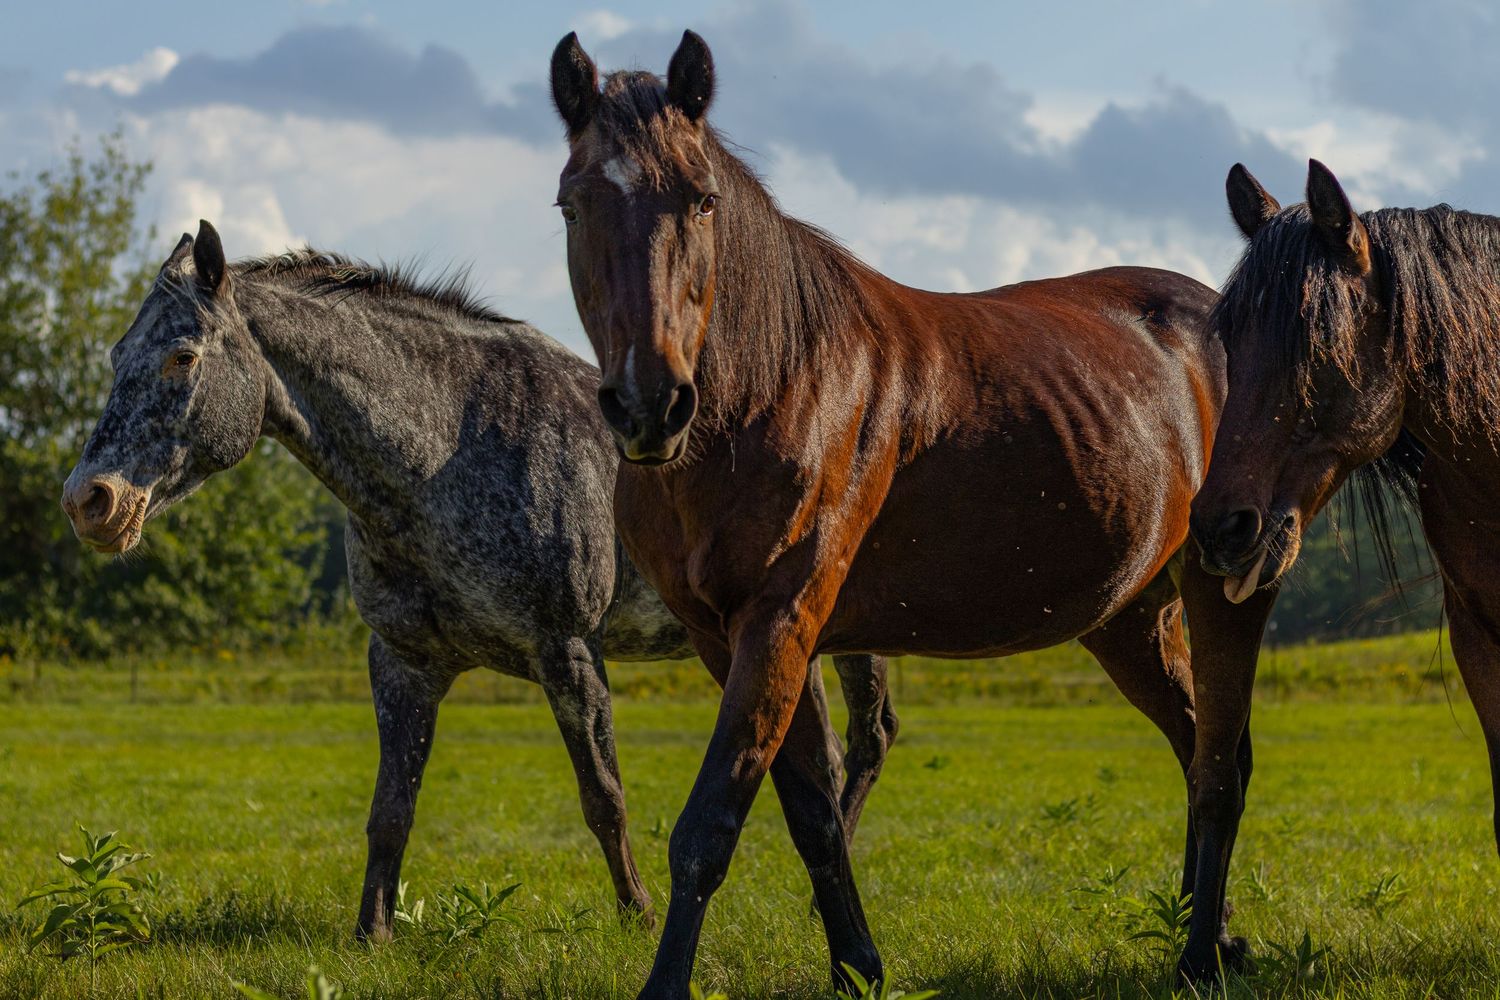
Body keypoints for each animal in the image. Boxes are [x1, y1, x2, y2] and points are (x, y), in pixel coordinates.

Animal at [59, 222, 897, 942]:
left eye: (183, 356)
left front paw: (639, 915)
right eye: (115, 356)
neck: (444, 455)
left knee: (856, 743)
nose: (89, 500)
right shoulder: (404, 663)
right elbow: (391, 809)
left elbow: (604, 797)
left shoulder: (568, 654)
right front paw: (372, 931)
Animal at [549, 29, 1281, 995]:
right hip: (1130, 620)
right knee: (1199, 746)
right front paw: (856, 965)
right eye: (573, 204)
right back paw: (1215, 931)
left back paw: (1202, 953)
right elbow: (812, 813)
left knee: (1221, 764)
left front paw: (669, 982)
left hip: (1225, 589)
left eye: (701, 199)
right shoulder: (733, 637)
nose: (648, 404)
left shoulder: (779, 620)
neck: (772, 387)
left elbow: (711, 824)